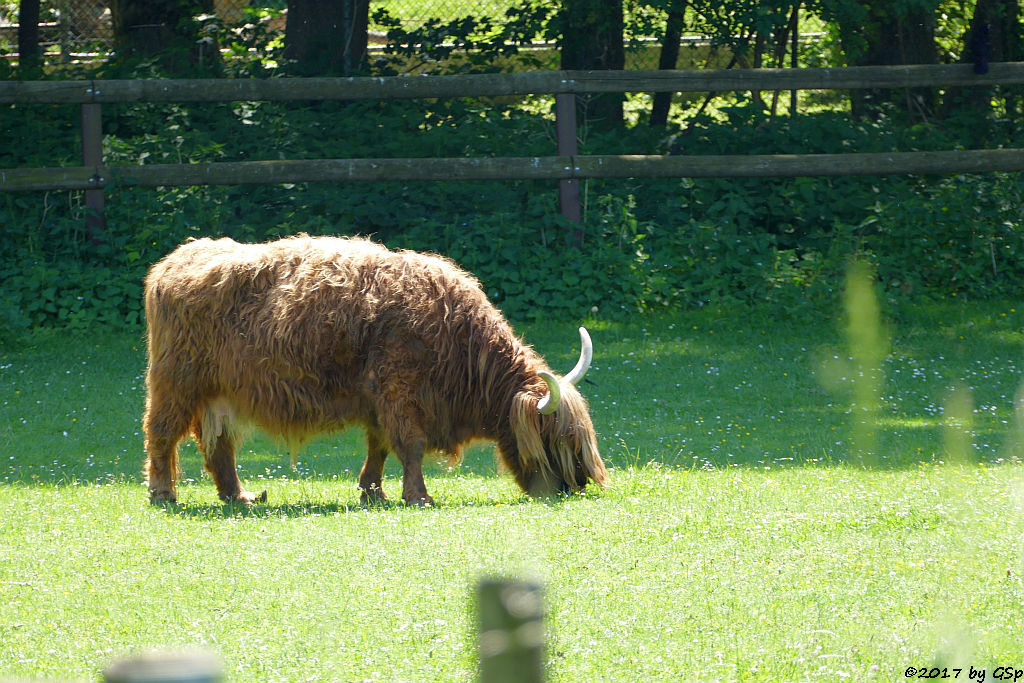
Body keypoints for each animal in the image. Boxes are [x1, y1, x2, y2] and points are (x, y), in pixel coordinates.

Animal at [144, 236, 606, 507]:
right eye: (556, 438)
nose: (579, 486)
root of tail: (175, 260)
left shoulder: (379, 400)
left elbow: (379, 446)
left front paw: (373, 492)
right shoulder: (399, 391)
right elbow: (410, 446)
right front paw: (418, 497)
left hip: (220, 393)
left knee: (218, 444)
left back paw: (239, 497)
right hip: (176, 381)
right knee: (162, 433)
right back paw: (164, 493)